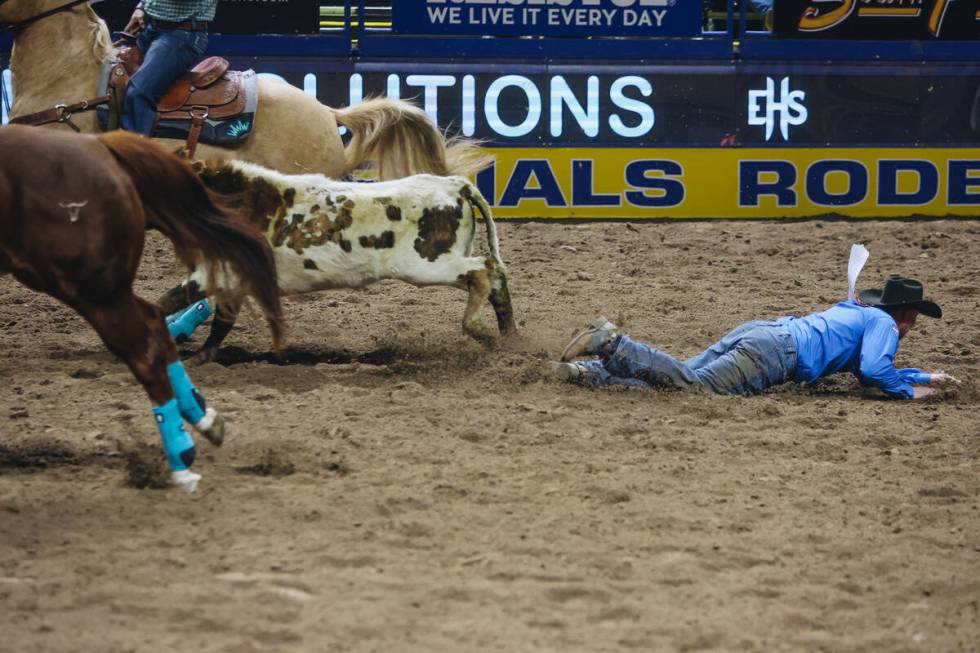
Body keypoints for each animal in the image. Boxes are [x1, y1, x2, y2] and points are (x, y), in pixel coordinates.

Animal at [0, 127, 284, 492]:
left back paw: (181, 460)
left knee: (145, 348)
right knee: (156, 323)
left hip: (91, 287)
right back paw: (203, 420)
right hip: (97, 285)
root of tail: (99, 145)